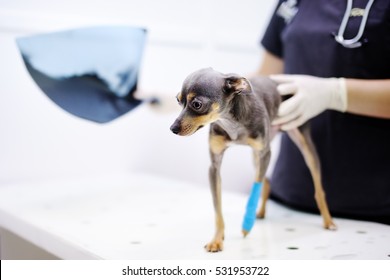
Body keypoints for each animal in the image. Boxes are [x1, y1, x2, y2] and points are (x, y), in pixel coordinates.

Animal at [170, 69, 336, 253]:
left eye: (197, 104)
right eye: (178, 100)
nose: (173, 128)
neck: (230, 122)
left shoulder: (266, 153)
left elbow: (254, 189)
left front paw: (247, 225)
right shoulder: (214, 167)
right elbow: (217, 207)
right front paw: (217, 239)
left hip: (302, 143)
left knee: (318, 188)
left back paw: (328, 221)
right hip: (256, 155)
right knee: (266, 181)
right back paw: (261, 212)